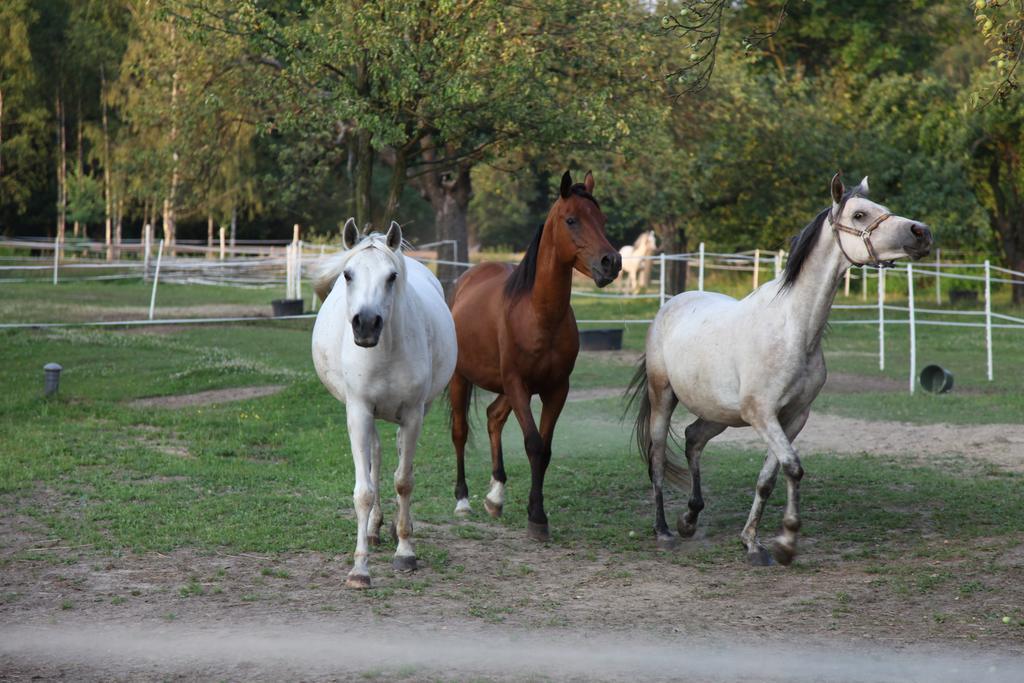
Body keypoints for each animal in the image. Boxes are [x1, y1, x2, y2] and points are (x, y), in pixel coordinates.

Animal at [311, 218, 456, 589]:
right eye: (348, 274)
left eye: (391, 276)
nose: (365, 324)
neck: (385, 351)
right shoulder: (359, 411)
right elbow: (363, 490)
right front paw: (360, 569)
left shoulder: (414, 414)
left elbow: (404, 480)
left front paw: (406, 552)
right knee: (375, 457)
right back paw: (374, 528)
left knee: (397, 457)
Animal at [446, 169, 618, 540]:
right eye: (572, 220)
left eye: (602, 220)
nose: (612, 262)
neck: (537, 314)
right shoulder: (519, 385)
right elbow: (534, 444)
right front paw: (537, 517)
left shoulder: (555, 389)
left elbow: (546, 449)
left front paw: (533, 511)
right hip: (462, 378)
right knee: (460, 432)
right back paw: (463, 501)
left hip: (505, 388)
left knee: (494, 417)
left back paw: (495, 497)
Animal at [626, 175, 933, 565]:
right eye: (860, 214)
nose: (921, 232)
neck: (794, 330)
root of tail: (670, 306)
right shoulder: (762, 414)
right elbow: (792, 467)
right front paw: (786, 541)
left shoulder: (792, 417)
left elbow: (768, 478)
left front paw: (753, 543)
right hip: (663, 397)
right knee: (657, 458)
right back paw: (664, 531)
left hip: (719, 412)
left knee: (694, 439)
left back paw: (690, 518)